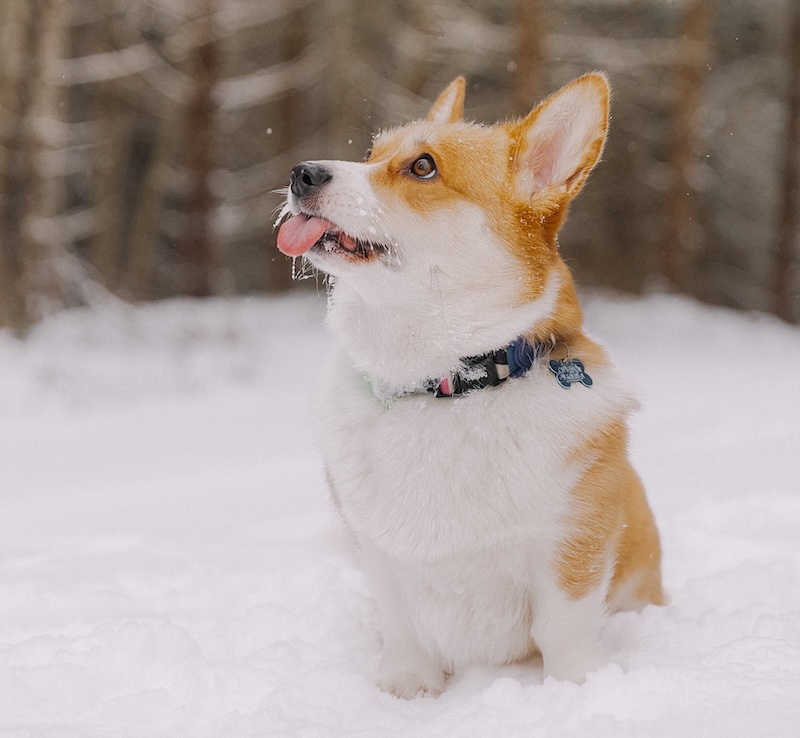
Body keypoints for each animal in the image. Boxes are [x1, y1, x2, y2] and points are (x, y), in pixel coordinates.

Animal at [276, 73, 664, 696]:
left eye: (423, 167)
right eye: (371, 153)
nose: (302, 173)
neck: (445, 384)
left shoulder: (573, 540)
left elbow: (564, 628)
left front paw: (576, 689)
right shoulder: (378, 551)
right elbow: (400, 623)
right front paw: (406, 688)